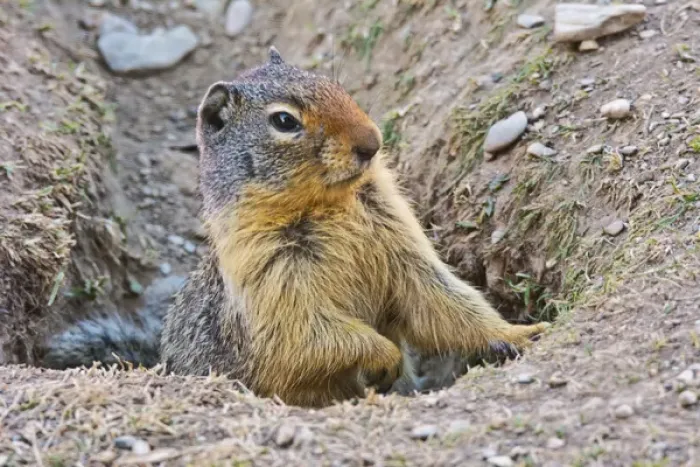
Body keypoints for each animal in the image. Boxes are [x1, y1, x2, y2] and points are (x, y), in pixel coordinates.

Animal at [41, 47, 549, 407]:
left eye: (335, 85)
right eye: (284, 120)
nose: (372, 142)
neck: (329, 205)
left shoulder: (403, 245)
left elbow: (442, 299)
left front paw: (522, 333)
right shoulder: (270, 276)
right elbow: (309, 333)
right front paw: (384, 358)